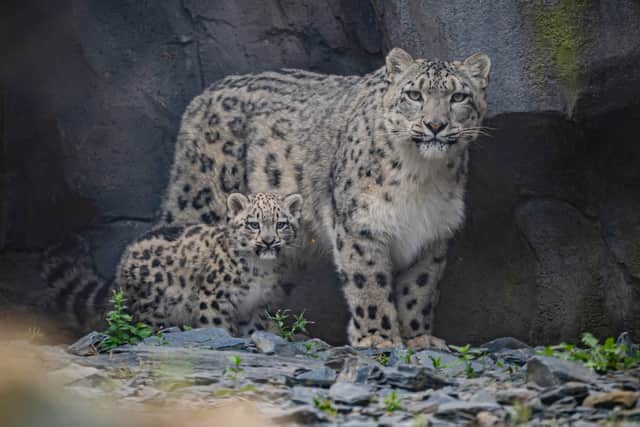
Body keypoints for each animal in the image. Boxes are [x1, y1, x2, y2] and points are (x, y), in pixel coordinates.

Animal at [42, 192, 303, 336]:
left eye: (281, 224)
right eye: (253, 224)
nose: (268, 241)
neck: (261, 270)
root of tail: (123, 261)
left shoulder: (257, 305)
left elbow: (255, 329)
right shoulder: (214, 298)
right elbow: (218, 327)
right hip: (153, 310)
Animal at [159, 47, 491, 348]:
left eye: (458, 97)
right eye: (414, 95)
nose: (436, 125)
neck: (421, 175)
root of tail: (202, 96)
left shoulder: (433, 232)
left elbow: (419, 290)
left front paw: (418, 338)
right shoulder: (360, 225)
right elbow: (369, 283)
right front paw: (378, 338)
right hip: (205, 203)